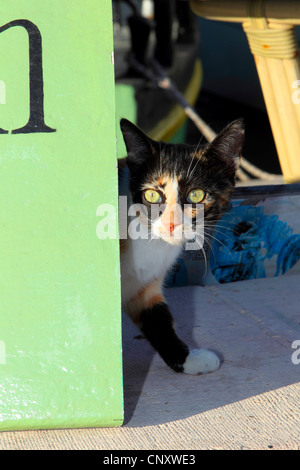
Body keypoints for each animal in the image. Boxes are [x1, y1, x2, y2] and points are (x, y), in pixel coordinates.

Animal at [117, 118, 244, 374]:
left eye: (196, 195)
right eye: (152, 196)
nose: (171, 224)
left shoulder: (144, 287)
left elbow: (159, 321)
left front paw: (187, 359)